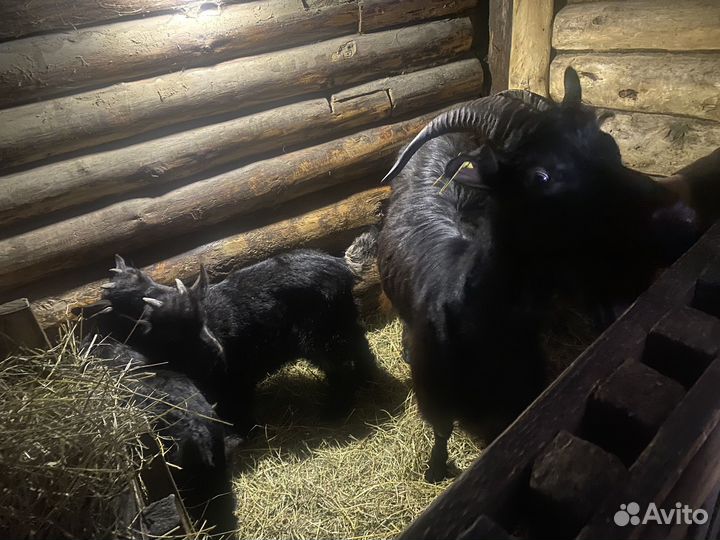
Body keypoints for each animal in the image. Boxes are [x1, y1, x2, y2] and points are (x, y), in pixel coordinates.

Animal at [376, 68, 696, 481]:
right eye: (540, 176)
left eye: (609, 145)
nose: (680, 217)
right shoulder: (434, 390)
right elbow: (442, 428)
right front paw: (435, 470)